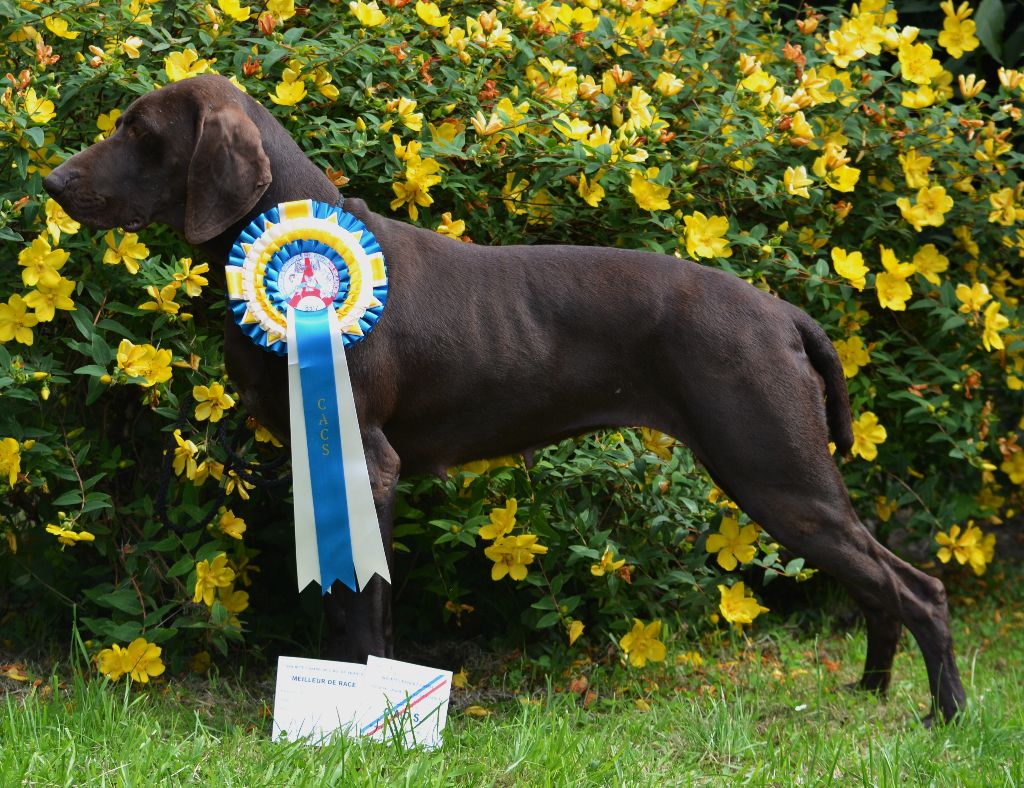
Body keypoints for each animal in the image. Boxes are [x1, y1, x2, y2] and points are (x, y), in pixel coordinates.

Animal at [44, 73, 962, 720]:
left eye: (140, 132)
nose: (52, 180)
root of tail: (779, 310)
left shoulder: (366, 461)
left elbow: (357, 612)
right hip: (786, 480)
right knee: (879, 587)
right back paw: (872, 693)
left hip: (775, 471)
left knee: (917, 587)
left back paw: (942, 716)